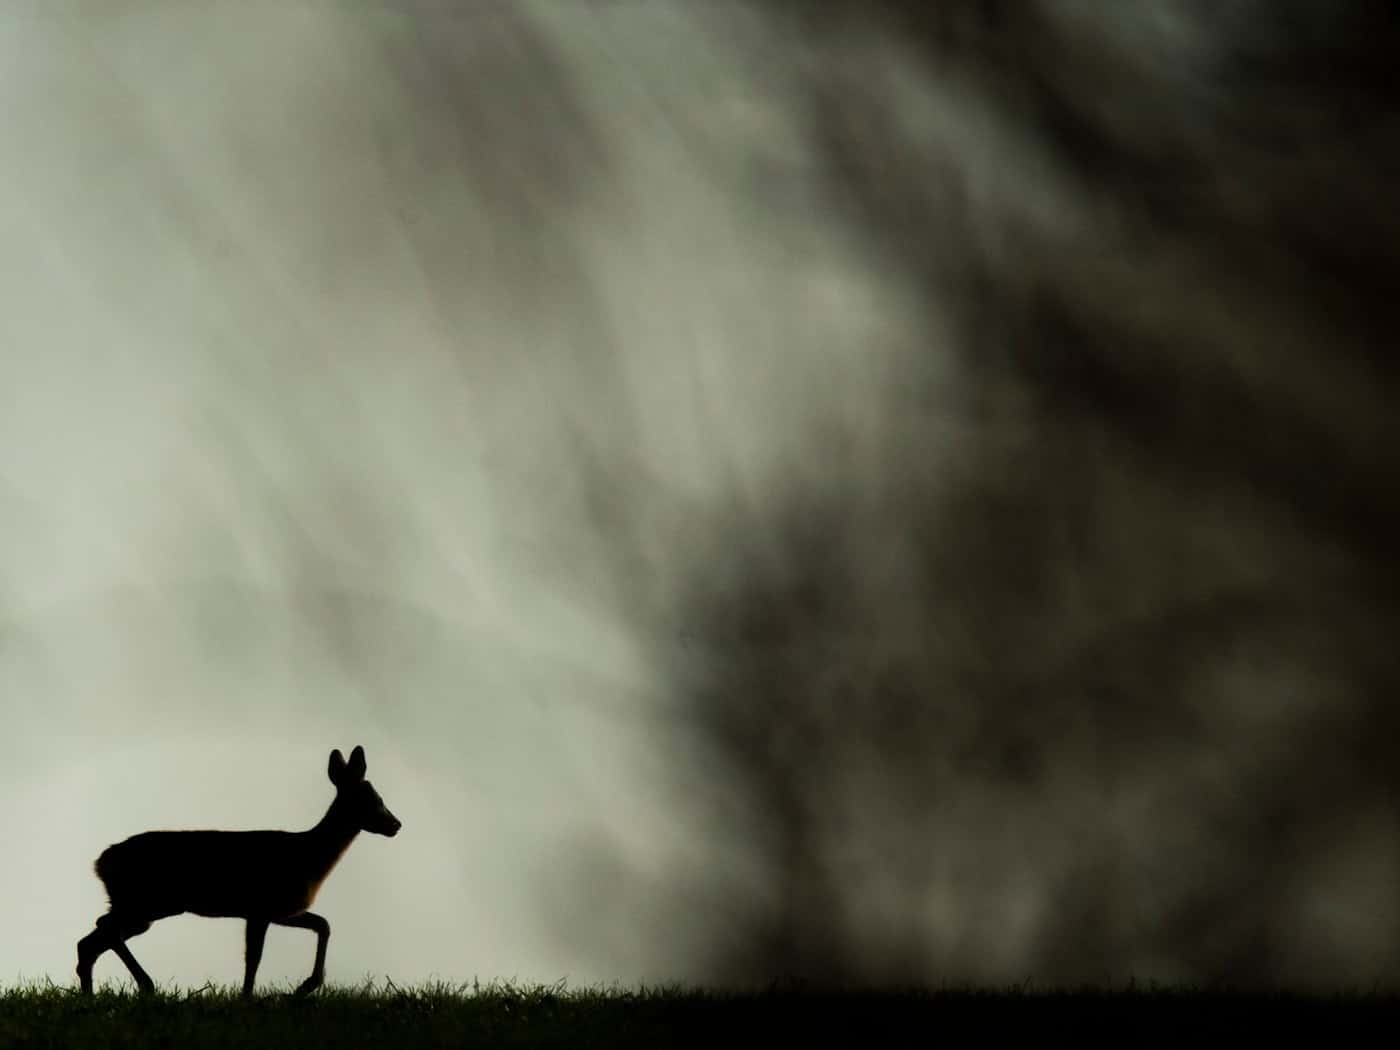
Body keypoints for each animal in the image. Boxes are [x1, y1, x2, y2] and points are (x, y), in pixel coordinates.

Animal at [76, 744, 402, 997]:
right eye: (373, 799)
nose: (396, 825)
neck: (309, 856)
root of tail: (99, 863)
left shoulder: (281, 910)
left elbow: (323, 924)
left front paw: (305, 986)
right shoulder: (261, 907)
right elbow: (254, 957)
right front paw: (250, 996)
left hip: (142, 906)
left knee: (90, 940)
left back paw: (92, 996)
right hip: (147, 902)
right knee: (103, 929)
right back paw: (146, 985)